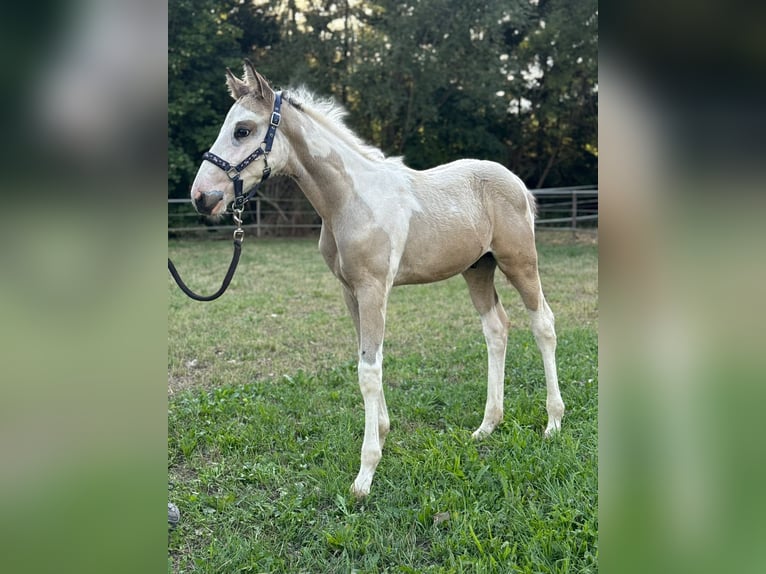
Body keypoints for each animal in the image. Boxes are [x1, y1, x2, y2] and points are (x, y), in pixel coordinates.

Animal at [189, 61, 564, 497]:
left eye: (243, 130)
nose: (202, 197)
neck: (351, 200)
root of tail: (518, 183)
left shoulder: (373, 289)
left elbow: (368, 371)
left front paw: (365, 473)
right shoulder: (350, 291)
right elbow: (367, 360)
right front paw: (382, 434)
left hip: (519, 262)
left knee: (543, 325)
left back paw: (553, 421)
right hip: (478, 269)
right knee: (497, 329)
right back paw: (487, 426)